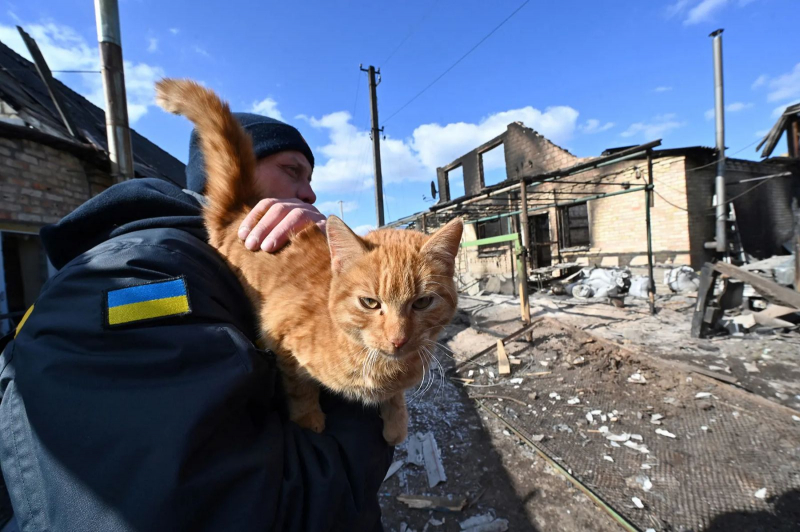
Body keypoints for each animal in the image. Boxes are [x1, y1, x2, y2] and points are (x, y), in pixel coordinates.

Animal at [155, 78, 462, 444]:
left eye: (423, 302)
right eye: (370, 303)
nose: (398, 340)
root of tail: (240, 208)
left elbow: (394, 397)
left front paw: (396, 421)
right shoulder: (282, 340)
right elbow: (300, 388)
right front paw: (309, 420)